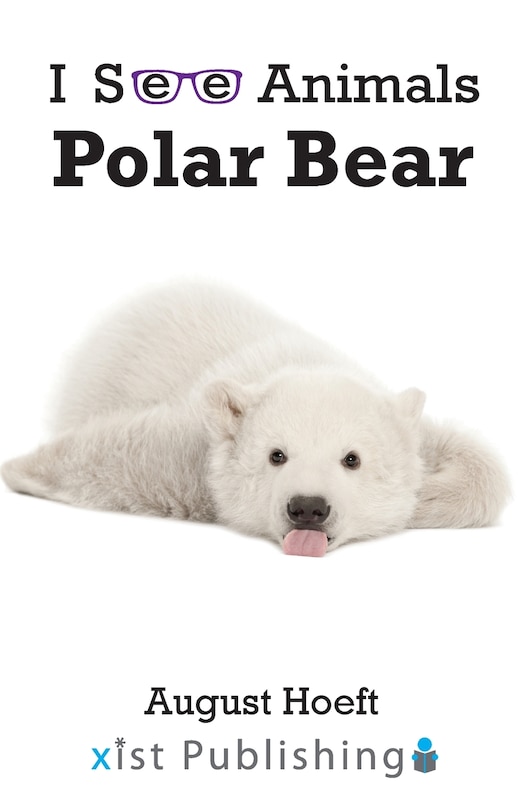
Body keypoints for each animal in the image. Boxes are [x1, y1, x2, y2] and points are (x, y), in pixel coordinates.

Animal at [1, 283, 509, 556]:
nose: (308, 507)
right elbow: (125, 456)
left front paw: (424, 496)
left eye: (352, 459)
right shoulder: (193, 455)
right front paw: (19, 468)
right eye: (276, 455)